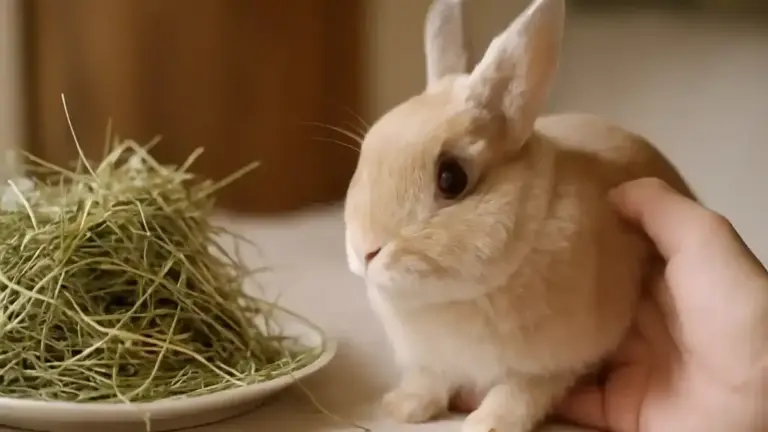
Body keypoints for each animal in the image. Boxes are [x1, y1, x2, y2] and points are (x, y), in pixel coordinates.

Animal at [343, 0, 694, 431]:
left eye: (451, 178)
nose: (365, 251)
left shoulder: (548, 369)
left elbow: (519, 395)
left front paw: (485, 425)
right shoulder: (433, 362)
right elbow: (430, 379)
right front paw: (402, 407)